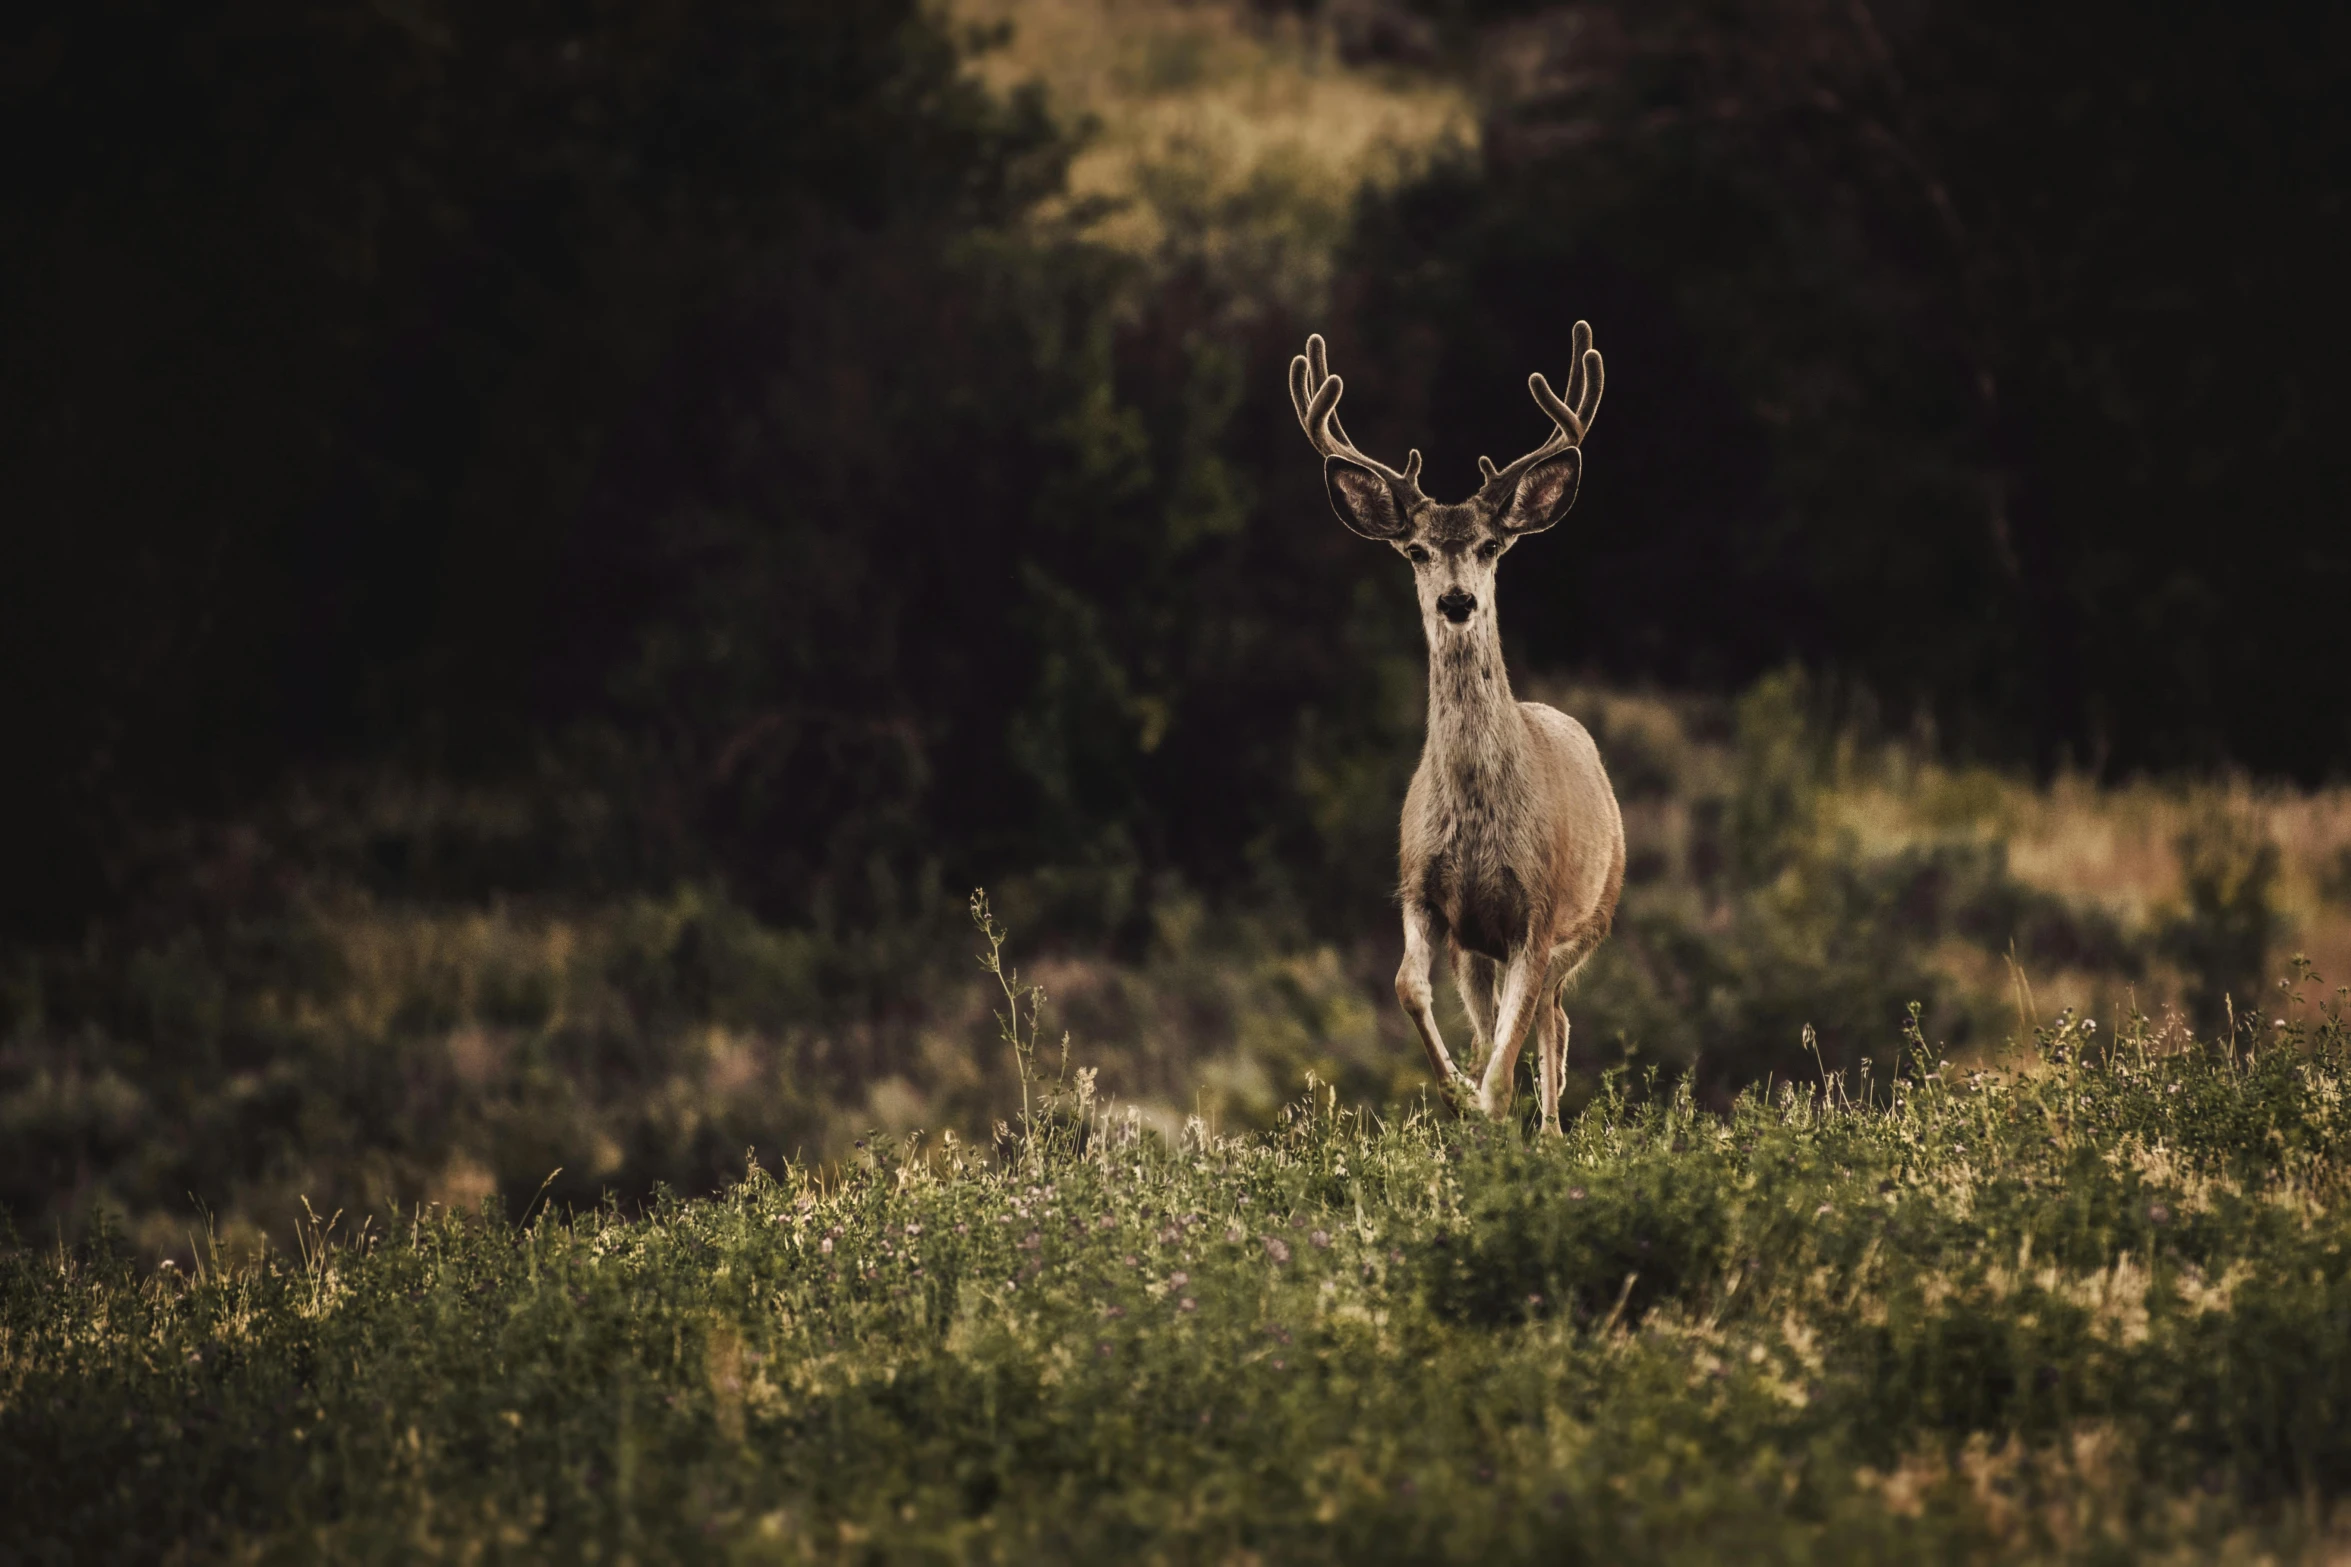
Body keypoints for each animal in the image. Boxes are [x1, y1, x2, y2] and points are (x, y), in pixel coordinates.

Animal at [1297, 324, 1626, 1132]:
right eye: (1415, 549)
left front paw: (1490, 1108)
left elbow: (1511, 1049)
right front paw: (1455, 1096)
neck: (1478, 817)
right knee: (1514, 1016)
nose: (1455, 601)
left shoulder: (1538, 908)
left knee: (1550, 1016)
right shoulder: (1422, 888)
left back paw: (1548, 1129)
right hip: (1479, 948)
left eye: (1490, 545)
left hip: (1590, 920)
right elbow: (1406, 988)